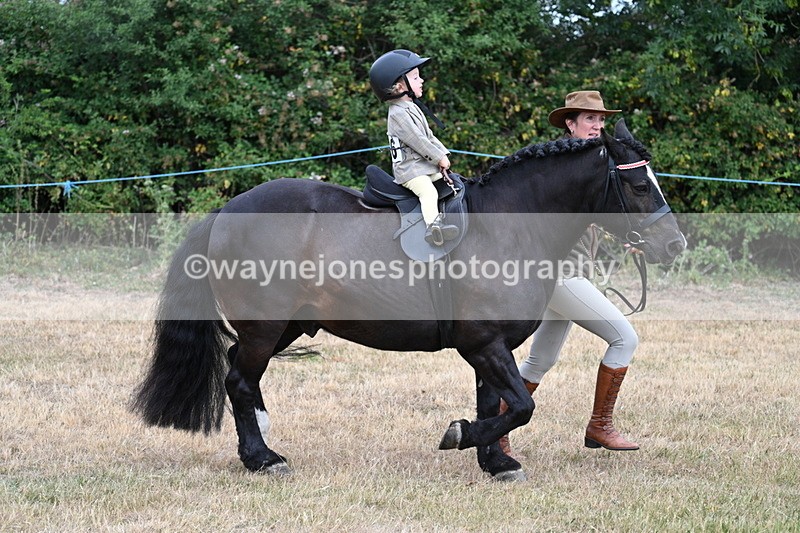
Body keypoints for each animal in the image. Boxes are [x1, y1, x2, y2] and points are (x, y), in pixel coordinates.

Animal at [132, 119, 685, 482]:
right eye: (639, 184)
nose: (675, 246)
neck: (509, 225)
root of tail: (228, 210)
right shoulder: (485, 344)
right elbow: (522, 405)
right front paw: (461, 435)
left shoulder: (491, 348)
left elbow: (497, 402)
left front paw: (495, 461)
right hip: (265, 328)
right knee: (240, 381)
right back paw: (262, 458)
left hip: (283, 326)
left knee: (239, 372)